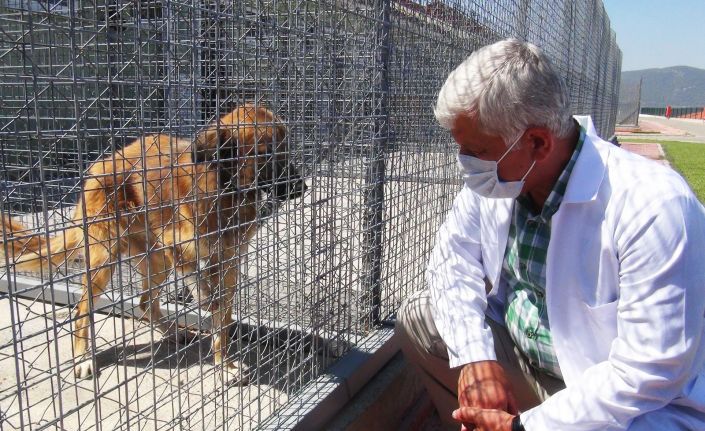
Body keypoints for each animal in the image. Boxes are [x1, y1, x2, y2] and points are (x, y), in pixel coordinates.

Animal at [1, 104, 306, 384]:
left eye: (286, 149)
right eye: (266, 153)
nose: (301, 188)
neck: (225, 190)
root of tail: (100, 165)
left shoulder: (229, 262)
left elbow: (223, 323)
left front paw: (224, 364)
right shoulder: (176, 244)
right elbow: (197, 280)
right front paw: (205, 298)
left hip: (156, 262)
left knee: (146, 302)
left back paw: (172, 332)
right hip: (105, 257)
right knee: (83, 309)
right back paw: (82, 358)